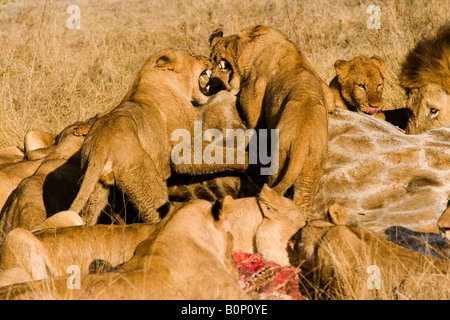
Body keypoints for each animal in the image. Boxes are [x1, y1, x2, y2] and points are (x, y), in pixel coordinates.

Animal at [209, 25, 328, 220]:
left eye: (227, 42)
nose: (214, 37)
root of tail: (302, 142)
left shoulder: (253, 96)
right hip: (311, 170)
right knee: (303, 200)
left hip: (277, 161)